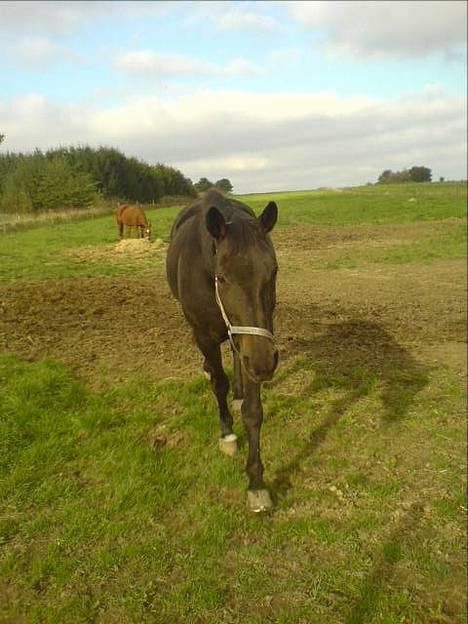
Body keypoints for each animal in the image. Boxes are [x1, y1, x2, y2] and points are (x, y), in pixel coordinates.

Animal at [166, 189, 278, 512]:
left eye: (273, 272)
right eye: (222, 277)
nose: (265, 364)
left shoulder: (256, 340)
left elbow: (253, 411)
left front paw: (256, 484)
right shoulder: (204, 336)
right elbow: (218, 382)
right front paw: (227, 433)